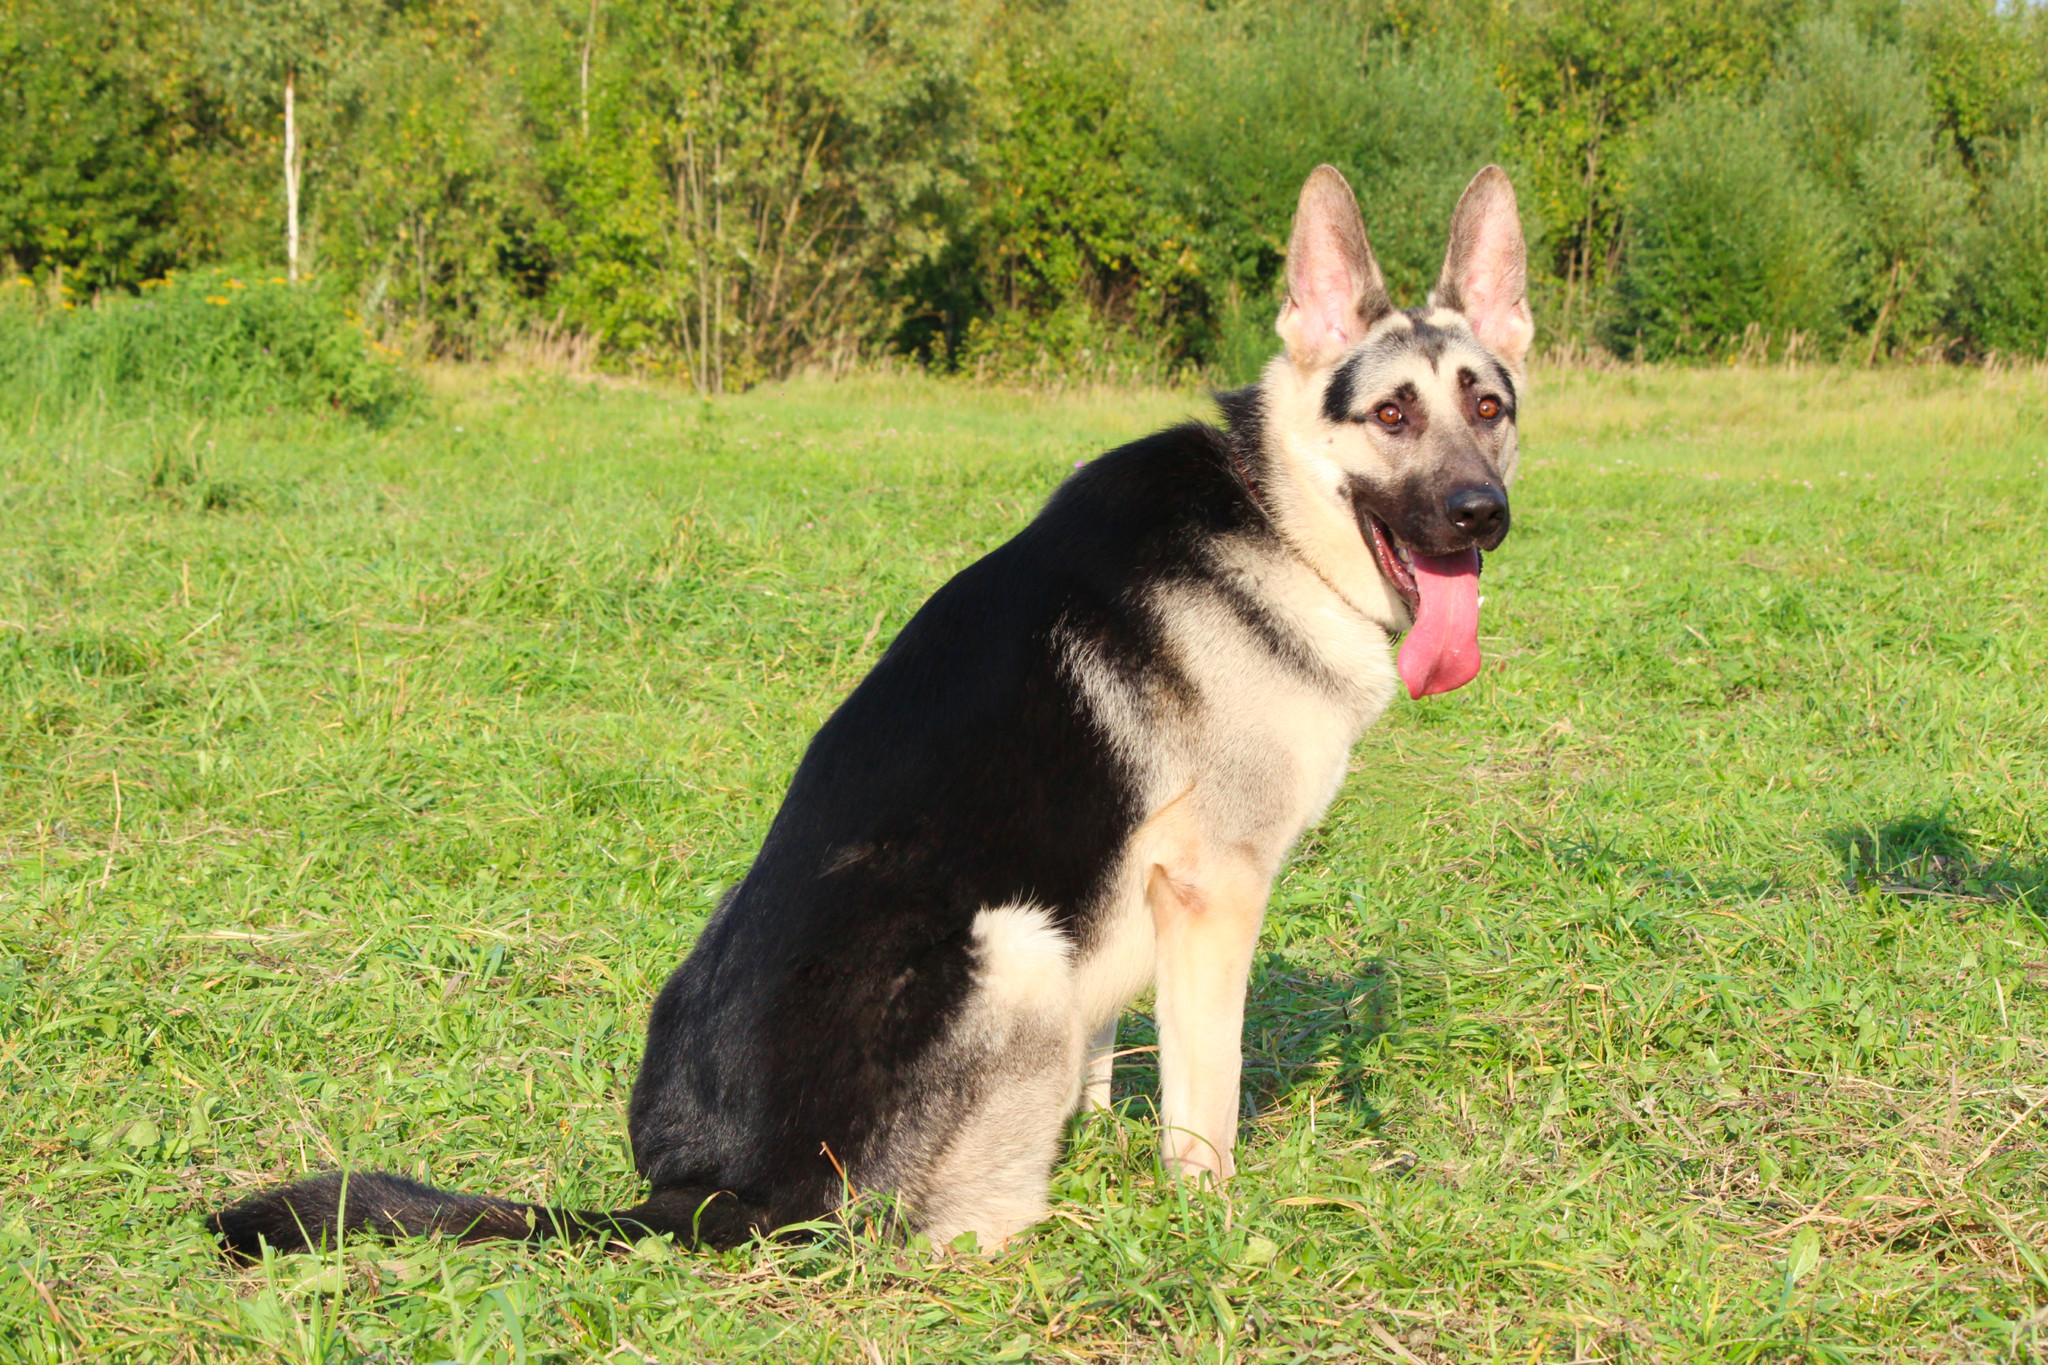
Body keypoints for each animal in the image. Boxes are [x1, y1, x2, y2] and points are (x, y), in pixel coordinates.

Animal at [216, 162, 1531, 1260]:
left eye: (1488, 405)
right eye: (1391, 417)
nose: (1480, 516)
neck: (1274, 517)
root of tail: (707, 1195)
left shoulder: (1134, 901)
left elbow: (1110, 1066)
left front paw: (1110, 1143)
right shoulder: (1211, 892)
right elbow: (1202, 1099)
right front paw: (1205, 1211)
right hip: (1014, 947)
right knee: (941, 1233)